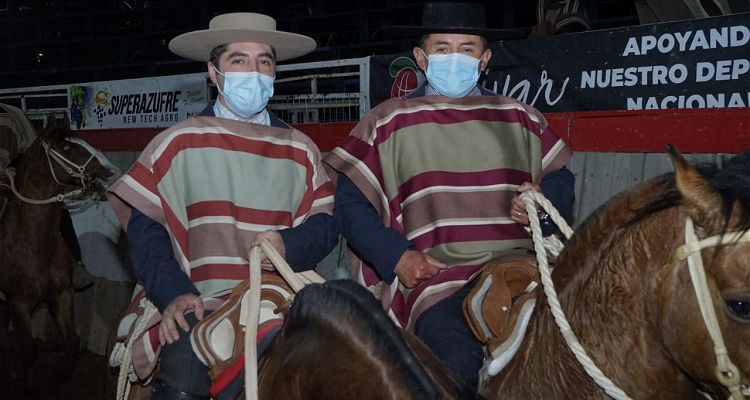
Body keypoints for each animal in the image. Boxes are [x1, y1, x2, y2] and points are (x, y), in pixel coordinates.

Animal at [0, 111, 117, 360]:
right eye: (65, 147)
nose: (112, 172)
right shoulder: (19, 305)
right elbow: (29, 353)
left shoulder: (62, 295)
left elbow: (72, 342)